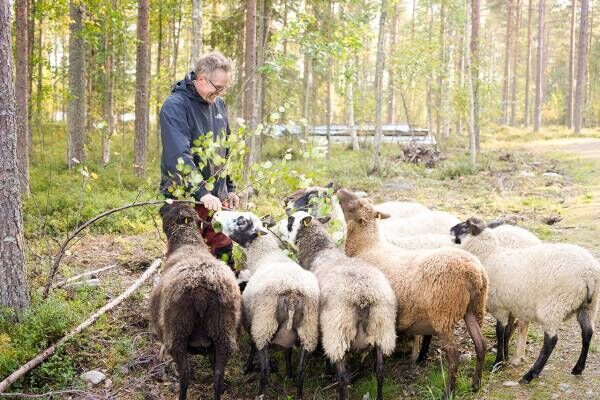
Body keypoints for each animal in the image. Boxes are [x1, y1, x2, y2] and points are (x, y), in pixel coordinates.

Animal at [150, 203, 241, 400]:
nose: (163, 204)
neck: (188, 243)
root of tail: (201, 290)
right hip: (224, 333)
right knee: (218, 377)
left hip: (178, 333)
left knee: (185, 377)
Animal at [213, 211, 322, 398]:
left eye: (241, 221)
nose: (217, 213)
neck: (265, 255)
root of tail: (292, 296)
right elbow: (287, 352)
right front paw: (289, 374)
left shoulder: (251, 322)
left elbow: (252, 347)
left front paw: (246, 368)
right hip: (308, 332)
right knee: (301, 373)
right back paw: (298, 391)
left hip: (264, 325)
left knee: (265, 371)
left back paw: (259, 394)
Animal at [278, 211, 398, 398]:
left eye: (291, 220)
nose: (276, 225)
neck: (319, 251)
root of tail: (364, 296)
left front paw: (327, 372)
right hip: (382, 328)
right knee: (379, 371)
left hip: (338, 330)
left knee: (343, 377)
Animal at [336, 191, 490, 396]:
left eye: (353, 207)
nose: (340, 191)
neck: (366, 246)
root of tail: (474, 272)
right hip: (473, 308)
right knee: (481, 345)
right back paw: (475, 384)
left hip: (444, 313)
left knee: (454, 355)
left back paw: (449, 391)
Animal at [450, 219, 600, 384]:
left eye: (465, 226)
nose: (450, 229)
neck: (489, 254)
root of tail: (589, 273)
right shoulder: (510, 306)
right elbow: (507, 331)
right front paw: (505, 356)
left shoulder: (500, 307)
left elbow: (500, 332)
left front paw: (498, 362)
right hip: (589, 306)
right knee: (587, 333)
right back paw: (578, 368)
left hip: (554, 307)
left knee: (551, 341)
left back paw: (530, 375)